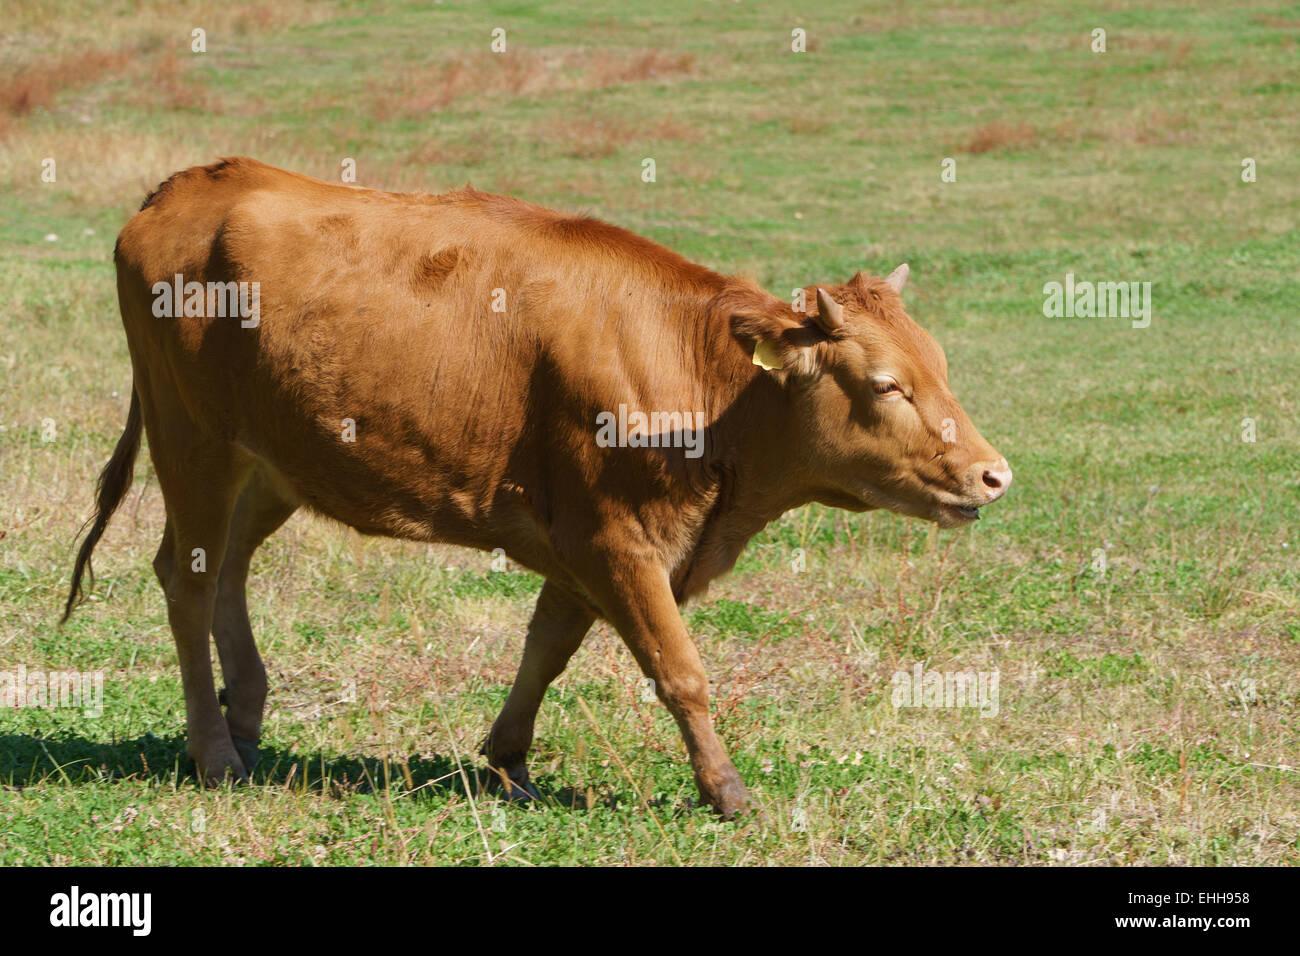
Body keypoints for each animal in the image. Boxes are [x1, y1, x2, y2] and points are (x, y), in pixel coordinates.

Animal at [63, 157, 1013, 816]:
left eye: (939, 366)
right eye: (886, 384)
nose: (993, 474)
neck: (697, 380)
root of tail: (193, 183)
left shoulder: (586, 541)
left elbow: (548, 648)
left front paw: (509, 758)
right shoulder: (615, 538)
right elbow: (679, 669)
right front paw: (727, 791)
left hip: (270, 466)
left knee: (227, 568)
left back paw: (248, 716)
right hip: (193, 442)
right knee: (187, 579)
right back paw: (215, 752)